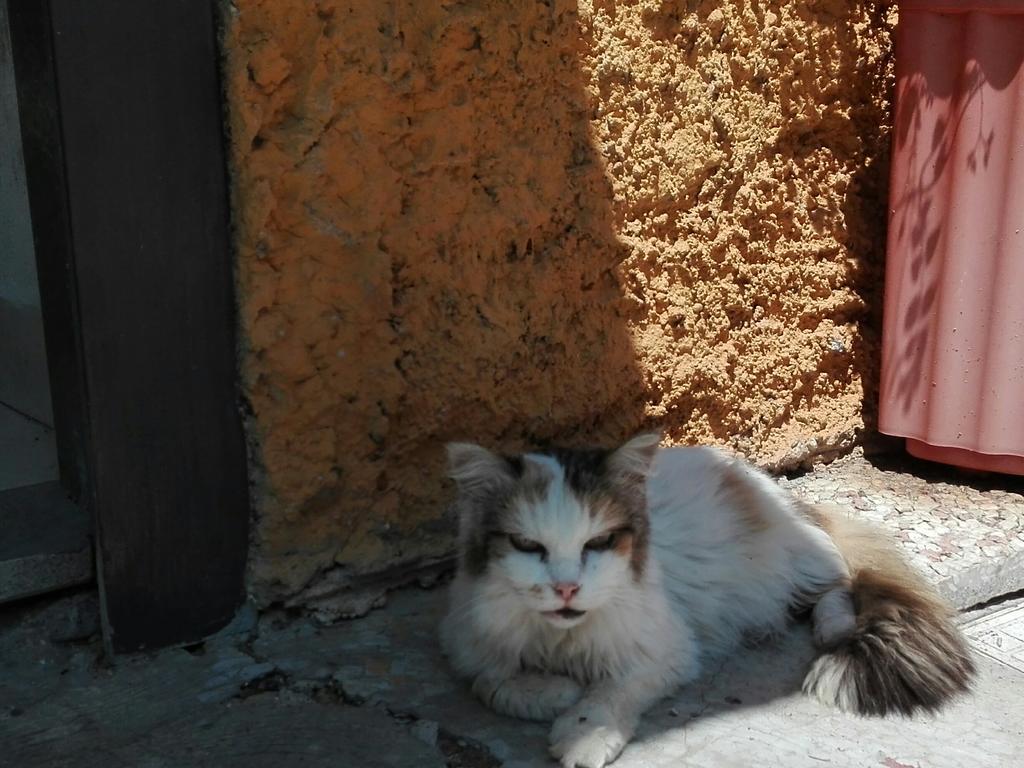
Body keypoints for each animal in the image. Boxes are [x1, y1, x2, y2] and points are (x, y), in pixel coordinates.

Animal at [436, 436, 970, 768]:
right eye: (528, 547)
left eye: (599, 543)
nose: (567, 588)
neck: (559, 640)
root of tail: (766, 482)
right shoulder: (469, 639)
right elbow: (490, 681)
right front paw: (552, 693)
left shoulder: (666, 651)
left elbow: (611, 692)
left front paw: (584, 732)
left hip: (791, 561)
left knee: (840, 580)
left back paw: (831, 625)